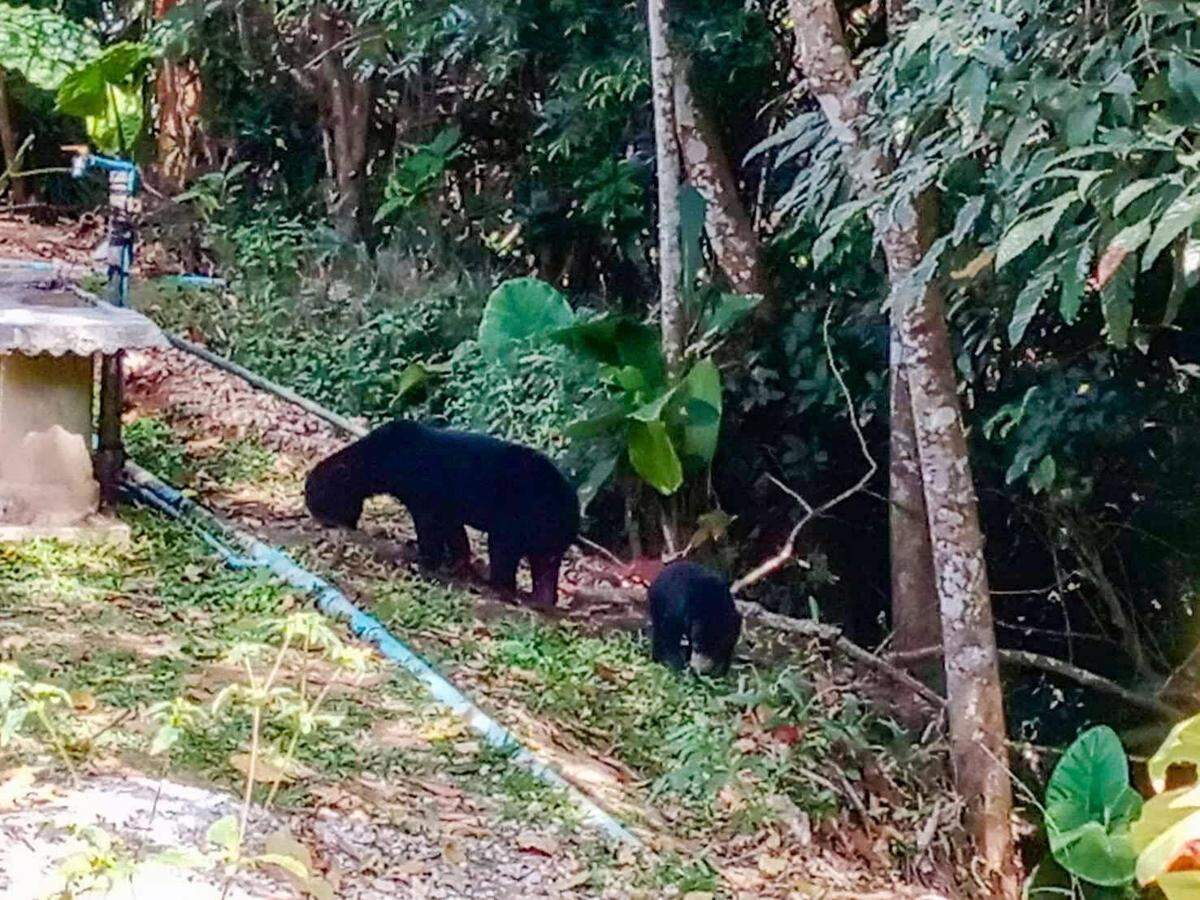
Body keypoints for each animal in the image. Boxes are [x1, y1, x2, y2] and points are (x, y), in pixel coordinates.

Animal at [305, 420, 579, 606]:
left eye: (319, 496)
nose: (314, 513)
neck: (383, 458)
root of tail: (572, 512)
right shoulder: (446, 508)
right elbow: (456, 536)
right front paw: (457, 563)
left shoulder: (425, 500)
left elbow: (430, 532)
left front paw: (424, 561)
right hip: (544, 539)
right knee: (544, 568)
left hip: (518, 522)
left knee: (504, 555)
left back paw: (496, 587)